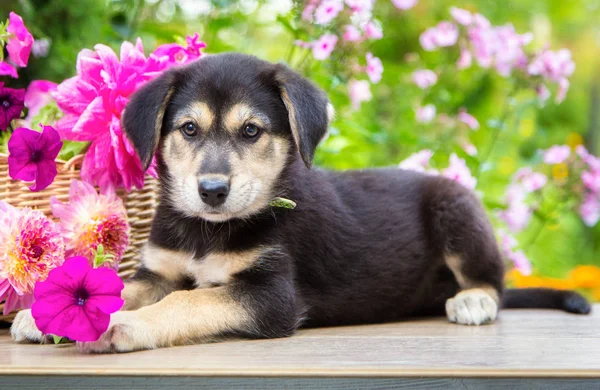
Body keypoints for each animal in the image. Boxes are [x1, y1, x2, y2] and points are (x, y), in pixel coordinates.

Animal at [9, 52, 592, 350]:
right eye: (189, 129)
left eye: (251, 131)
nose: (212, 191)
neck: (207, 231)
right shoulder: (159, 272)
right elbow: (122, 288)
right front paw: (46, 316)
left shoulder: (272, 296)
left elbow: (189, 302)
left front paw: (122, 327)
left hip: (457, 208)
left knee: (494, 281)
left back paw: (472, 301)